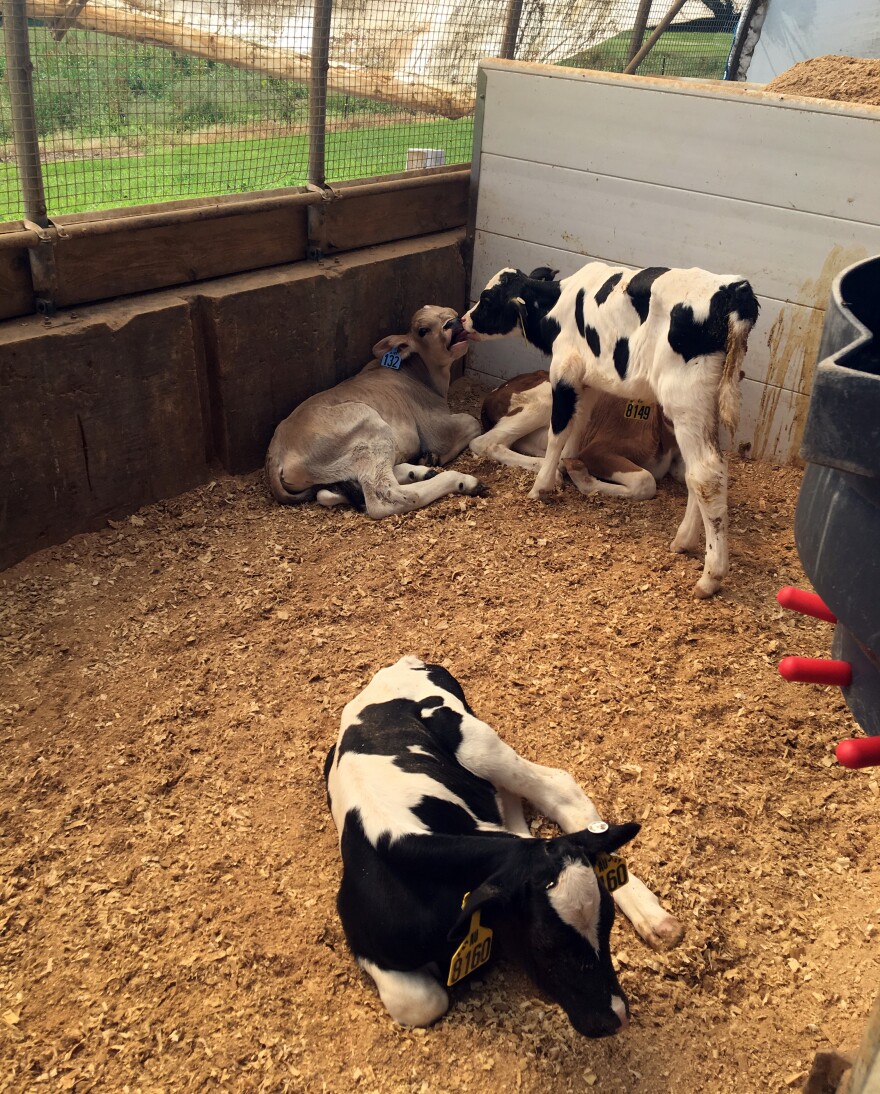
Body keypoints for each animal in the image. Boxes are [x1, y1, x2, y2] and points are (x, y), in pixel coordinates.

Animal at [268, 304, 488, 516]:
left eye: (453, 312)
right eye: (422, 330)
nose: (453, 322)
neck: (420, 375)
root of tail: (275, 452)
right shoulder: (436, 430)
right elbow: (473, 422)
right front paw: (435, 457)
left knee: (332, 491)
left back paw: (419, 470)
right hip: (370, 428)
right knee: (387, 497)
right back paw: (462, 481)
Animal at [326, 652, 682, 1037]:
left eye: (608, 923)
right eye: (546, 944)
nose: (615, 1017)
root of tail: (399, 665)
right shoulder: (365, 941)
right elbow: (423, 1003)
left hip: (476, 743)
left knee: (558, 786)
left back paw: (655, 919)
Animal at [475, 371, 678, 501]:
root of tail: (494, 392)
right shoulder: (597, 449)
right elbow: (646, 481)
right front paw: (581, 476)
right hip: (546, 400)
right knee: (485, 442)